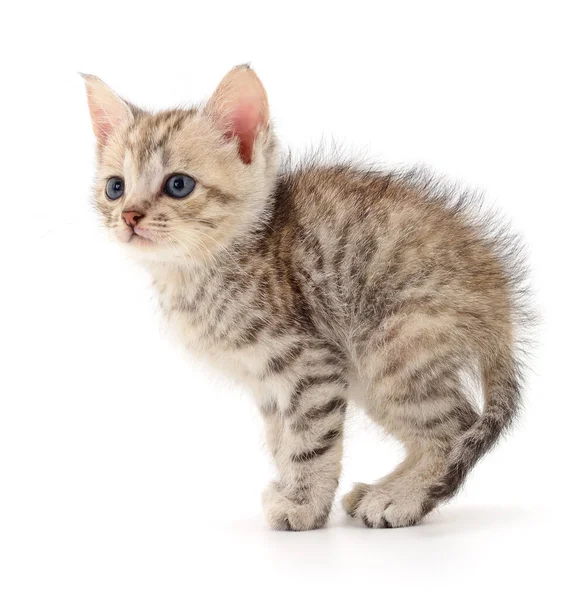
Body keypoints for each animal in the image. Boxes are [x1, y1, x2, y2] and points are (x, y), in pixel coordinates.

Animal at [81, 65, 528, 532]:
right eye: (115, 187)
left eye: (178, 185)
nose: (129, 216)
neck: (199, 270)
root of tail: (501, 308)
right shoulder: (267, 380)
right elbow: (282, 440)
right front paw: (292, 488)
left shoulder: (311, 363)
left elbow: (311, 439)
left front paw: (304, 505)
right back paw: (384, 489)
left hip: (393, 347)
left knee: (455, 427)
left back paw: (400, 499)